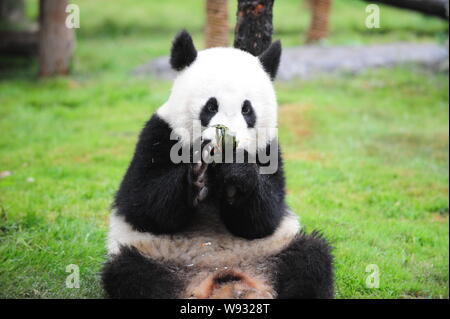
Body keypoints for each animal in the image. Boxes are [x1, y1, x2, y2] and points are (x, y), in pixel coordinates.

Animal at [102, 30, 334, 300]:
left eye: (247, 109)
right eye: (211, 106)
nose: (227, 136)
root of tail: (222, 280)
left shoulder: (269, 149)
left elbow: (265, 218)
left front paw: (235, 173)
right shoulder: (158, 133)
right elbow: (143, 205)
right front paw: (198, 177)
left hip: (274, 250)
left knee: (311, 257)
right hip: (156, 256)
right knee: (131, 273)